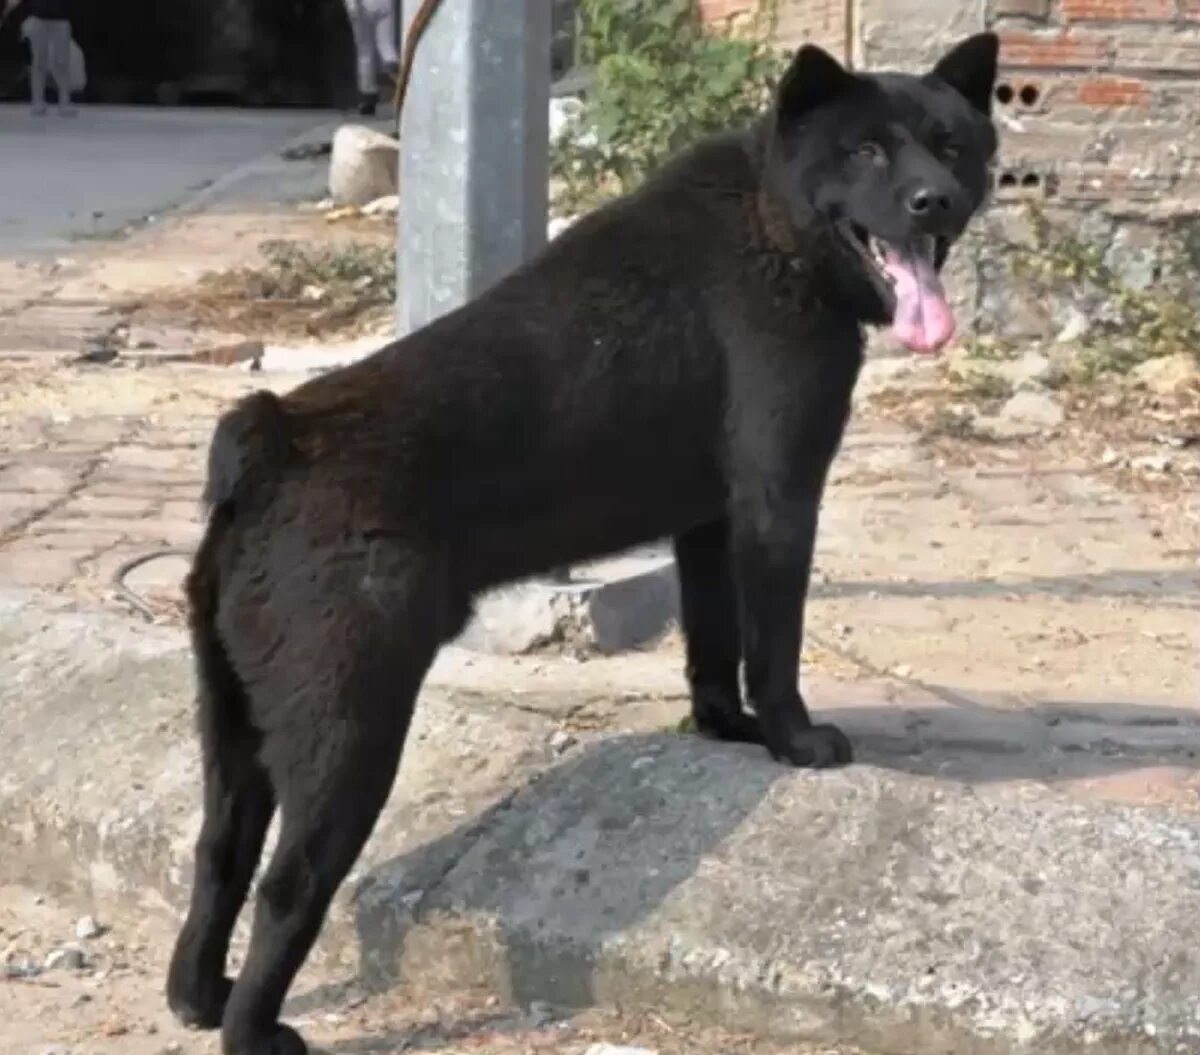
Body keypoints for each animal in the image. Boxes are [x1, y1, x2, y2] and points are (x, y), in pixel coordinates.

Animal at [164, 35, 998, 1055]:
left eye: (949, 146)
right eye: (869, 151)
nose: (934, 201)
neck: (774, 224)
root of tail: (271, 440)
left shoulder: (709, 522)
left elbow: (714, 642)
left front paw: (724, 727)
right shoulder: (777, 499)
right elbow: (775, 644)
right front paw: (793, 738)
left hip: (235, 719)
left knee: (218, 850)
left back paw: (197, 995)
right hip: (346, 731)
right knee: (289, 883)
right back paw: (253, 1029)